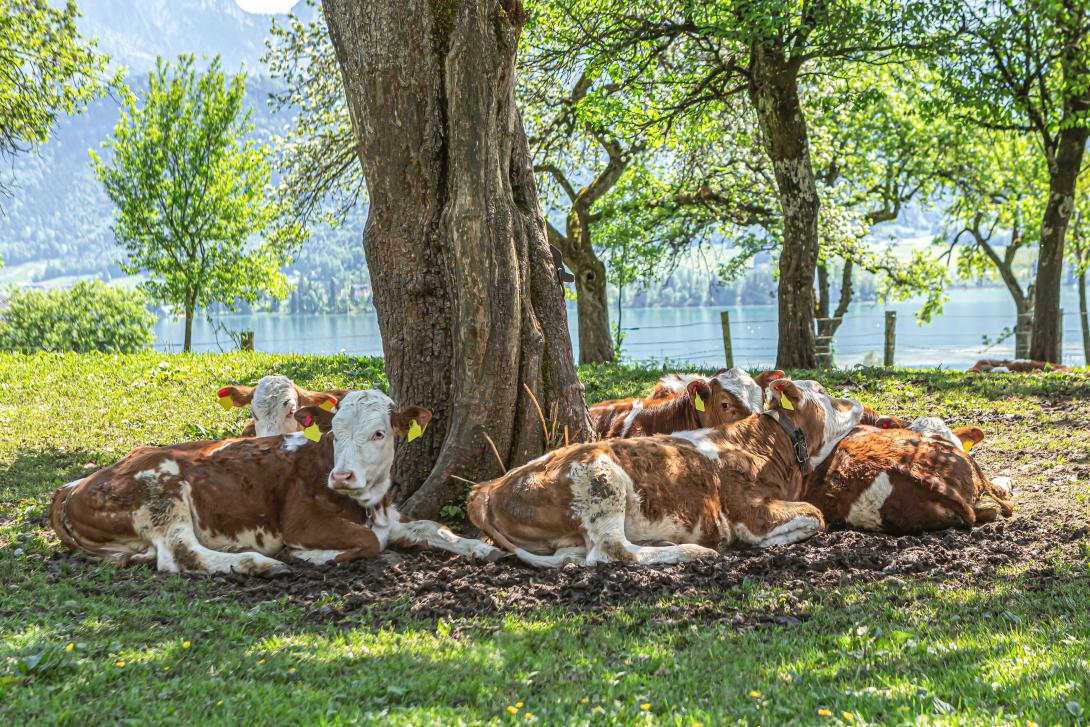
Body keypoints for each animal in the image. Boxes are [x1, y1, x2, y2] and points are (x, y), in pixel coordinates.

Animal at [53, 390, 503, 575]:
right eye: (335, 431)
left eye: (379, 433)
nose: (342, 475)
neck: (368, 502)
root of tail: (75, 486)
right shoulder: (300, 521)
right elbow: (368, 542)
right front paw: (314, 556)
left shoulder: (391, 514)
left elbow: (431, 526)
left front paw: (480, 546)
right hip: (161, 494)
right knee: (180, 555)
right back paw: (259, 564)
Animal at [473, 381, 863, 566]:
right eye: (823, 392)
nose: (855, 400)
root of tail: (490, 487)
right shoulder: (750, 510)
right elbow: (814, 515)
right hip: (602, 480)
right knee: (612, 550)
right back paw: (692, 552)